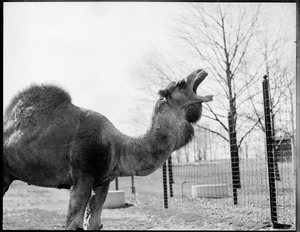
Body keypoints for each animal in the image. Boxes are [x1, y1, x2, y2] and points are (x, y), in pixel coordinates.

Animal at [2, 68, 213, 229]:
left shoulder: (104, 182)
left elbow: (94, 223)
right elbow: (73, 224)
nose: (200, 71)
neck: (119, 146)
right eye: (180, 83)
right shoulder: (82, 176)